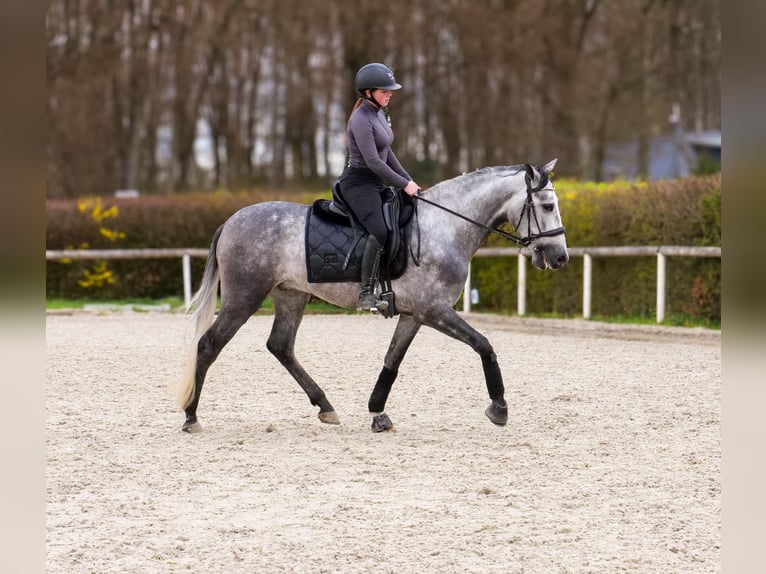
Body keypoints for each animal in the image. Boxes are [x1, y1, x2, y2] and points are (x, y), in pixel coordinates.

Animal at [175, 159, 568, 433]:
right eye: (548, 206)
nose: (561, 257)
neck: (446, 227)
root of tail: (231, 221)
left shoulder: (415, 315)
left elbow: (392, 361)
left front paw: (377, 412)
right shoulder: (435, 310)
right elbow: (484, 345)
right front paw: (499, 407)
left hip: (291, 296)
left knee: (281, 346)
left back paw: (325, 406)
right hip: (244, 298)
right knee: (208, 345)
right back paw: (191, 415)